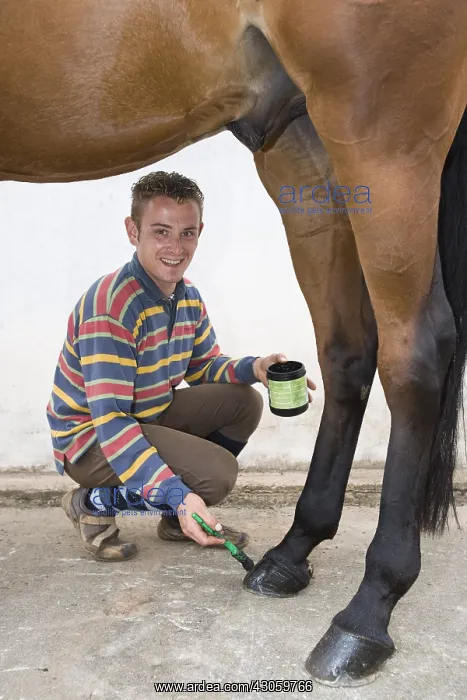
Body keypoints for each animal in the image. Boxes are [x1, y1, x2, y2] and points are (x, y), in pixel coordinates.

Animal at [1, 0, 466, 687]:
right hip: (304, 152)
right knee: (346, 348)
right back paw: (292, 551)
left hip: (382, 141)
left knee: (415, 355)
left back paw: (366, 613)